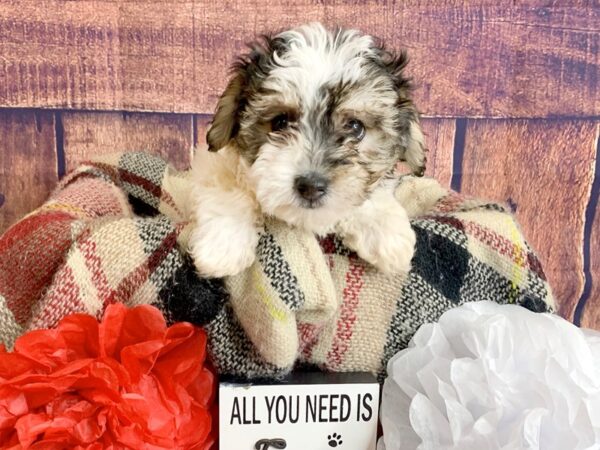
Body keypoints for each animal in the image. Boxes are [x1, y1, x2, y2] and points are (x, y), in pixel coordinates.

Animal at [190, 24, 424, 280]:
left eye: (355, 127)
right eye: (280, 122)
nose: (311, 186)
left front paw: (386, 234)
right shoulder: (215, 164)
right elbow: (230, 188)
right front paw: (223, 246)